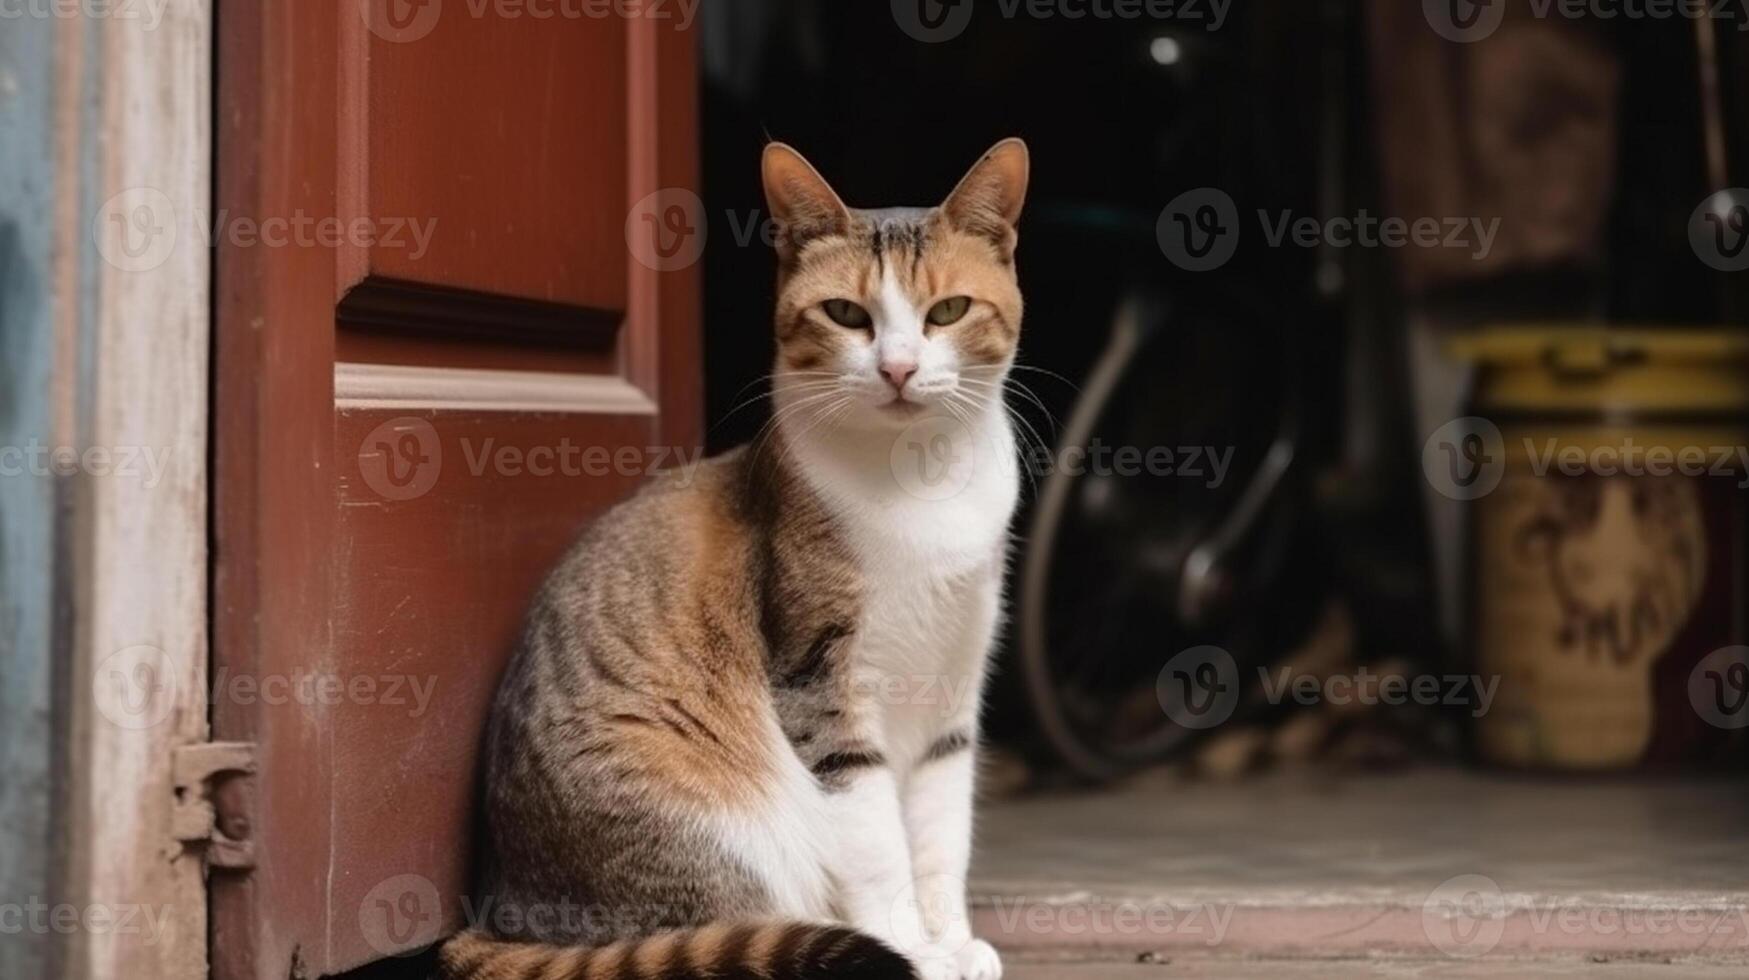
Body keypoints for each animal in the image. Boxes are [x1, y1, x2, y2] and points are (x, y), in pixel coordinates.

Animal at [437, 140, 1028, 980]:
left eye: (946, 311)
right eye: (846, 314)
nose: (898, 369)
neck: (919, 479)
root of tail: (506, 914)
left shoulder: (953, 686)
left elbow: (941, 833)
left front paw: (950, 939)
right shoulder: (819, 680)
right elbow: (878, 840)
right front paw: (914, 952)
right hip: (717, 819)